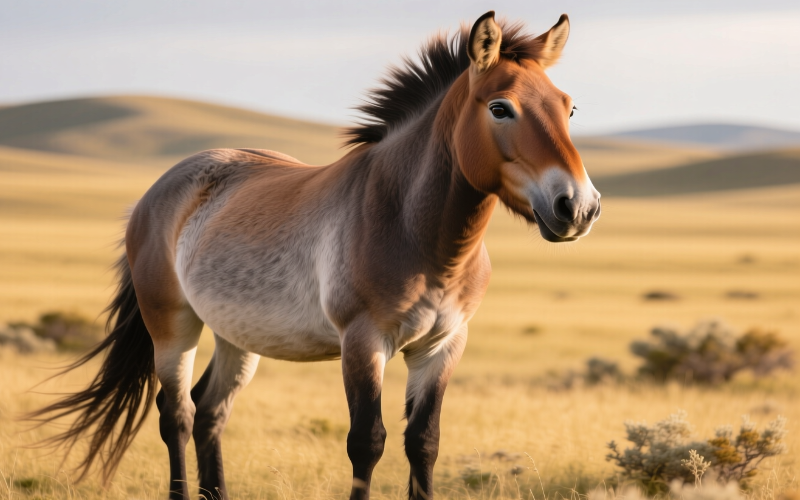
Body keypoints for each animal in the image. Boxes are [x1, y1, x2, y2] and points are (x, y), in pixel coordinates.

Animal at [29, 11, 600, 500]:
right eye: (500, 108)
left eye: (568, 107)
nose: (578, 207)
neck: (414, 230)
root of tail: (157, 191)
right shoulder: (364, 342)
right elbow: (367, 442)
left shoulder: (443, 345)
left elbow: (424, 443)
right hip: (172, 324)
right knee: (176, 416)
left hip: (236, 335)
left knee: (209, 411)